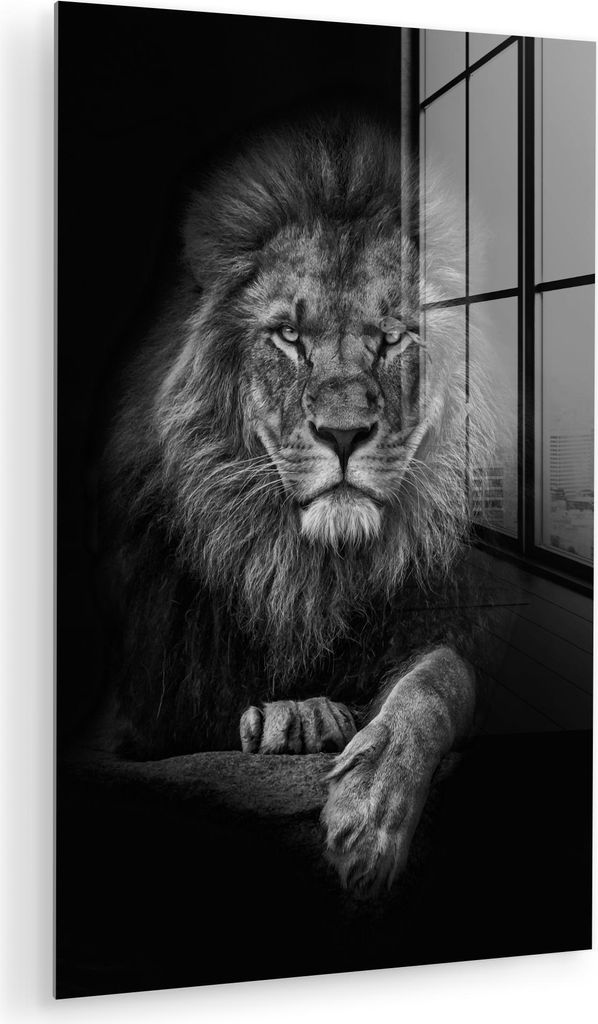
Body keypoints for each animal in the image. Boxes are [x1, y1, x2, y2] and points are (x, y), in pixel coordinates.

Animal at [97, 115, 499, 897]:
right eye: (288, 336)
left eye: (392, 336)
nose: (343, 433)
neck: (308, 572)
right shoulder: (138, 718)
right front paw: (298, 716)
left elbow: (440, 679)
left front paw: (370, 811)